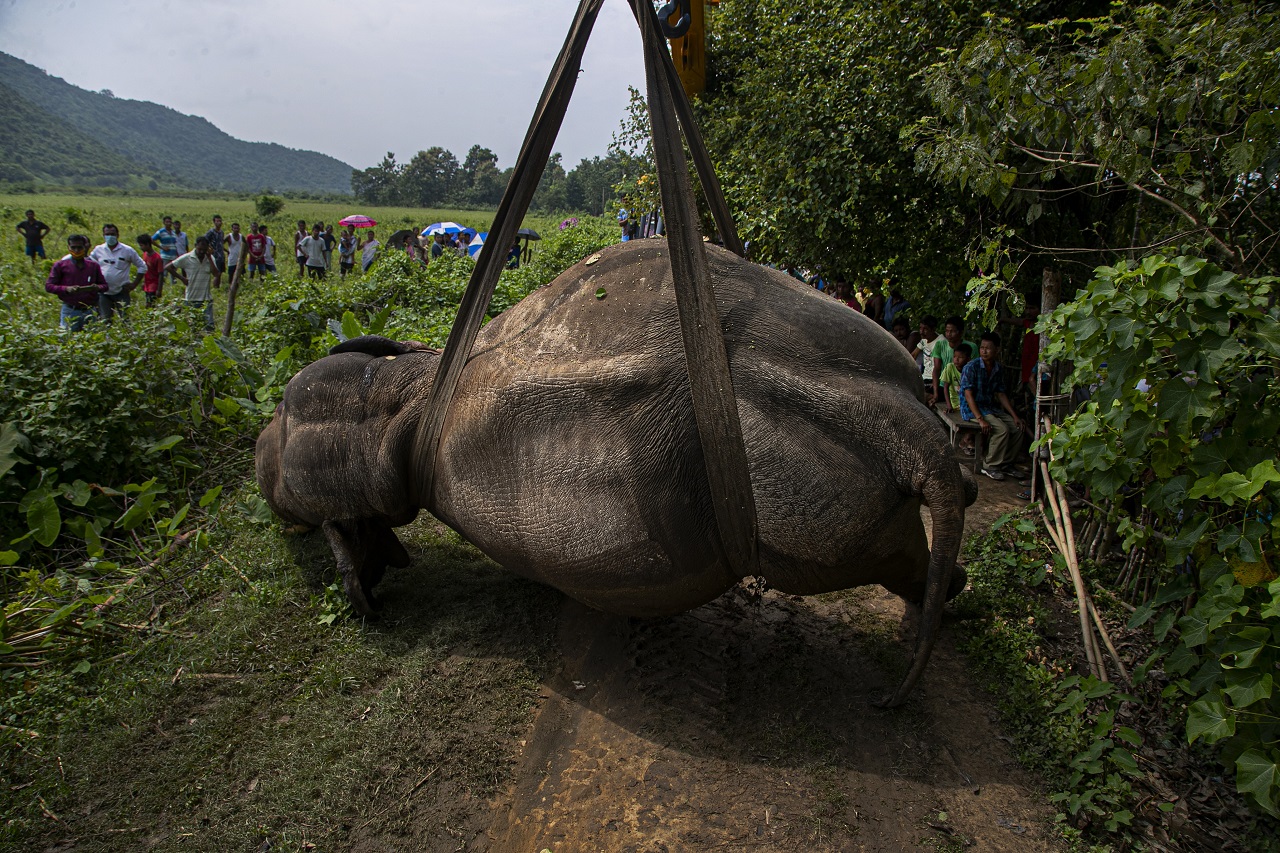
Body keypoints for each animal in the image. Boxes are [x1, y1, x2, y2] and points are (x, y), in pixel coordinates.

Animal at [254, 236, 972, 701]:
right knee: (910, 549)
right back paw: (953, 572)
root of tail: (911, 433)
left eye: (283, 408)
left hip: (804, 503)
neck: (398, 404)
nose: (260, 452)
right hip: (846, 421)